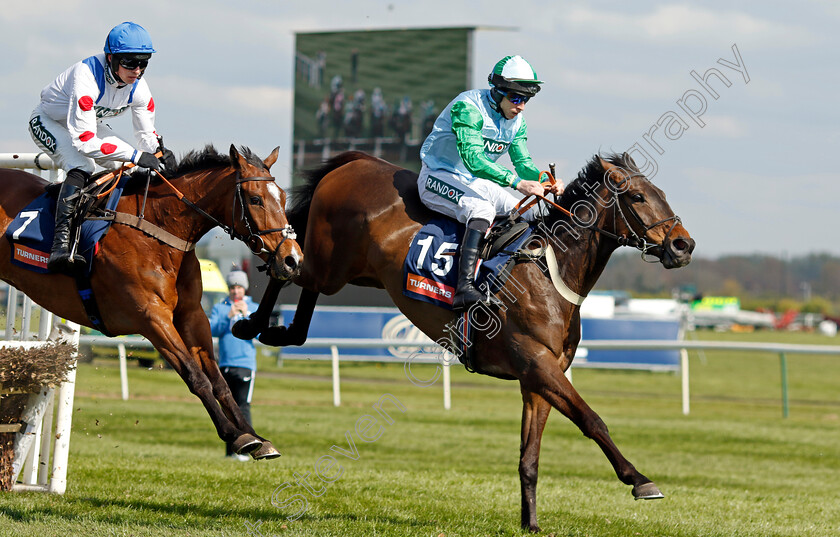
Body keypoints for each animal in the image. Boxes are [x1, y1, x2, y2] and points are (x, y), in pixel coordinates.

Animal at [0, 144, 302, 458]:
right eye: (255, 199)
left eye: (283, 197)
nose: (292, 259)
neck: (159, 230)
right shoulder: (150, 317)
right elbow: (196, 377)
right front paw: (235, 435)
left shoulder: (192, 315)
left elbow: (219, 380)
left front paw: (255, 437)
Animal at [238, 150, 696, 528]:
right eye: (637, 197)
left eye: (661, 193)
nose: (683, 244)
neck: (549, 271)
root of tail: (359, 161)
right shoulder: (538, 364)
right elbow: (592, 420)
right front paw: (640, 480)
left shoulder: (537, 379)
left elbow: (529, 456)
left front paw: (531, 523)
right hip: (328, 259)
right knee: (286, 265)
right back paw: (252, 323)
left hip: (356, 272)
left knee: (303, 284)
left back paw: (282, 329)